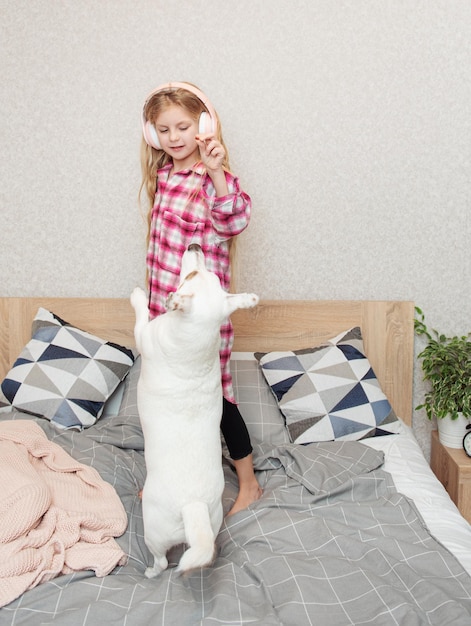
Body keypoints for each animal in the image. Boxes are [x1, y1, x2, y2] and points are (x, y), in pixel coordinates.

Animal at [131, 244, 260, 576]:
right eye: (206, 275)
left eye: (188, 278)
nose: (195, 245)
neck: (194, 340)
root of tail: (194, 506)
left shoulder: (145, 335)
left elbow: (141, 316)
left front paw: (138, 296)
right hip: (212, 523)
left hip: (153, 529)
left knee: (162, 561)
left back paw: (150, 572)